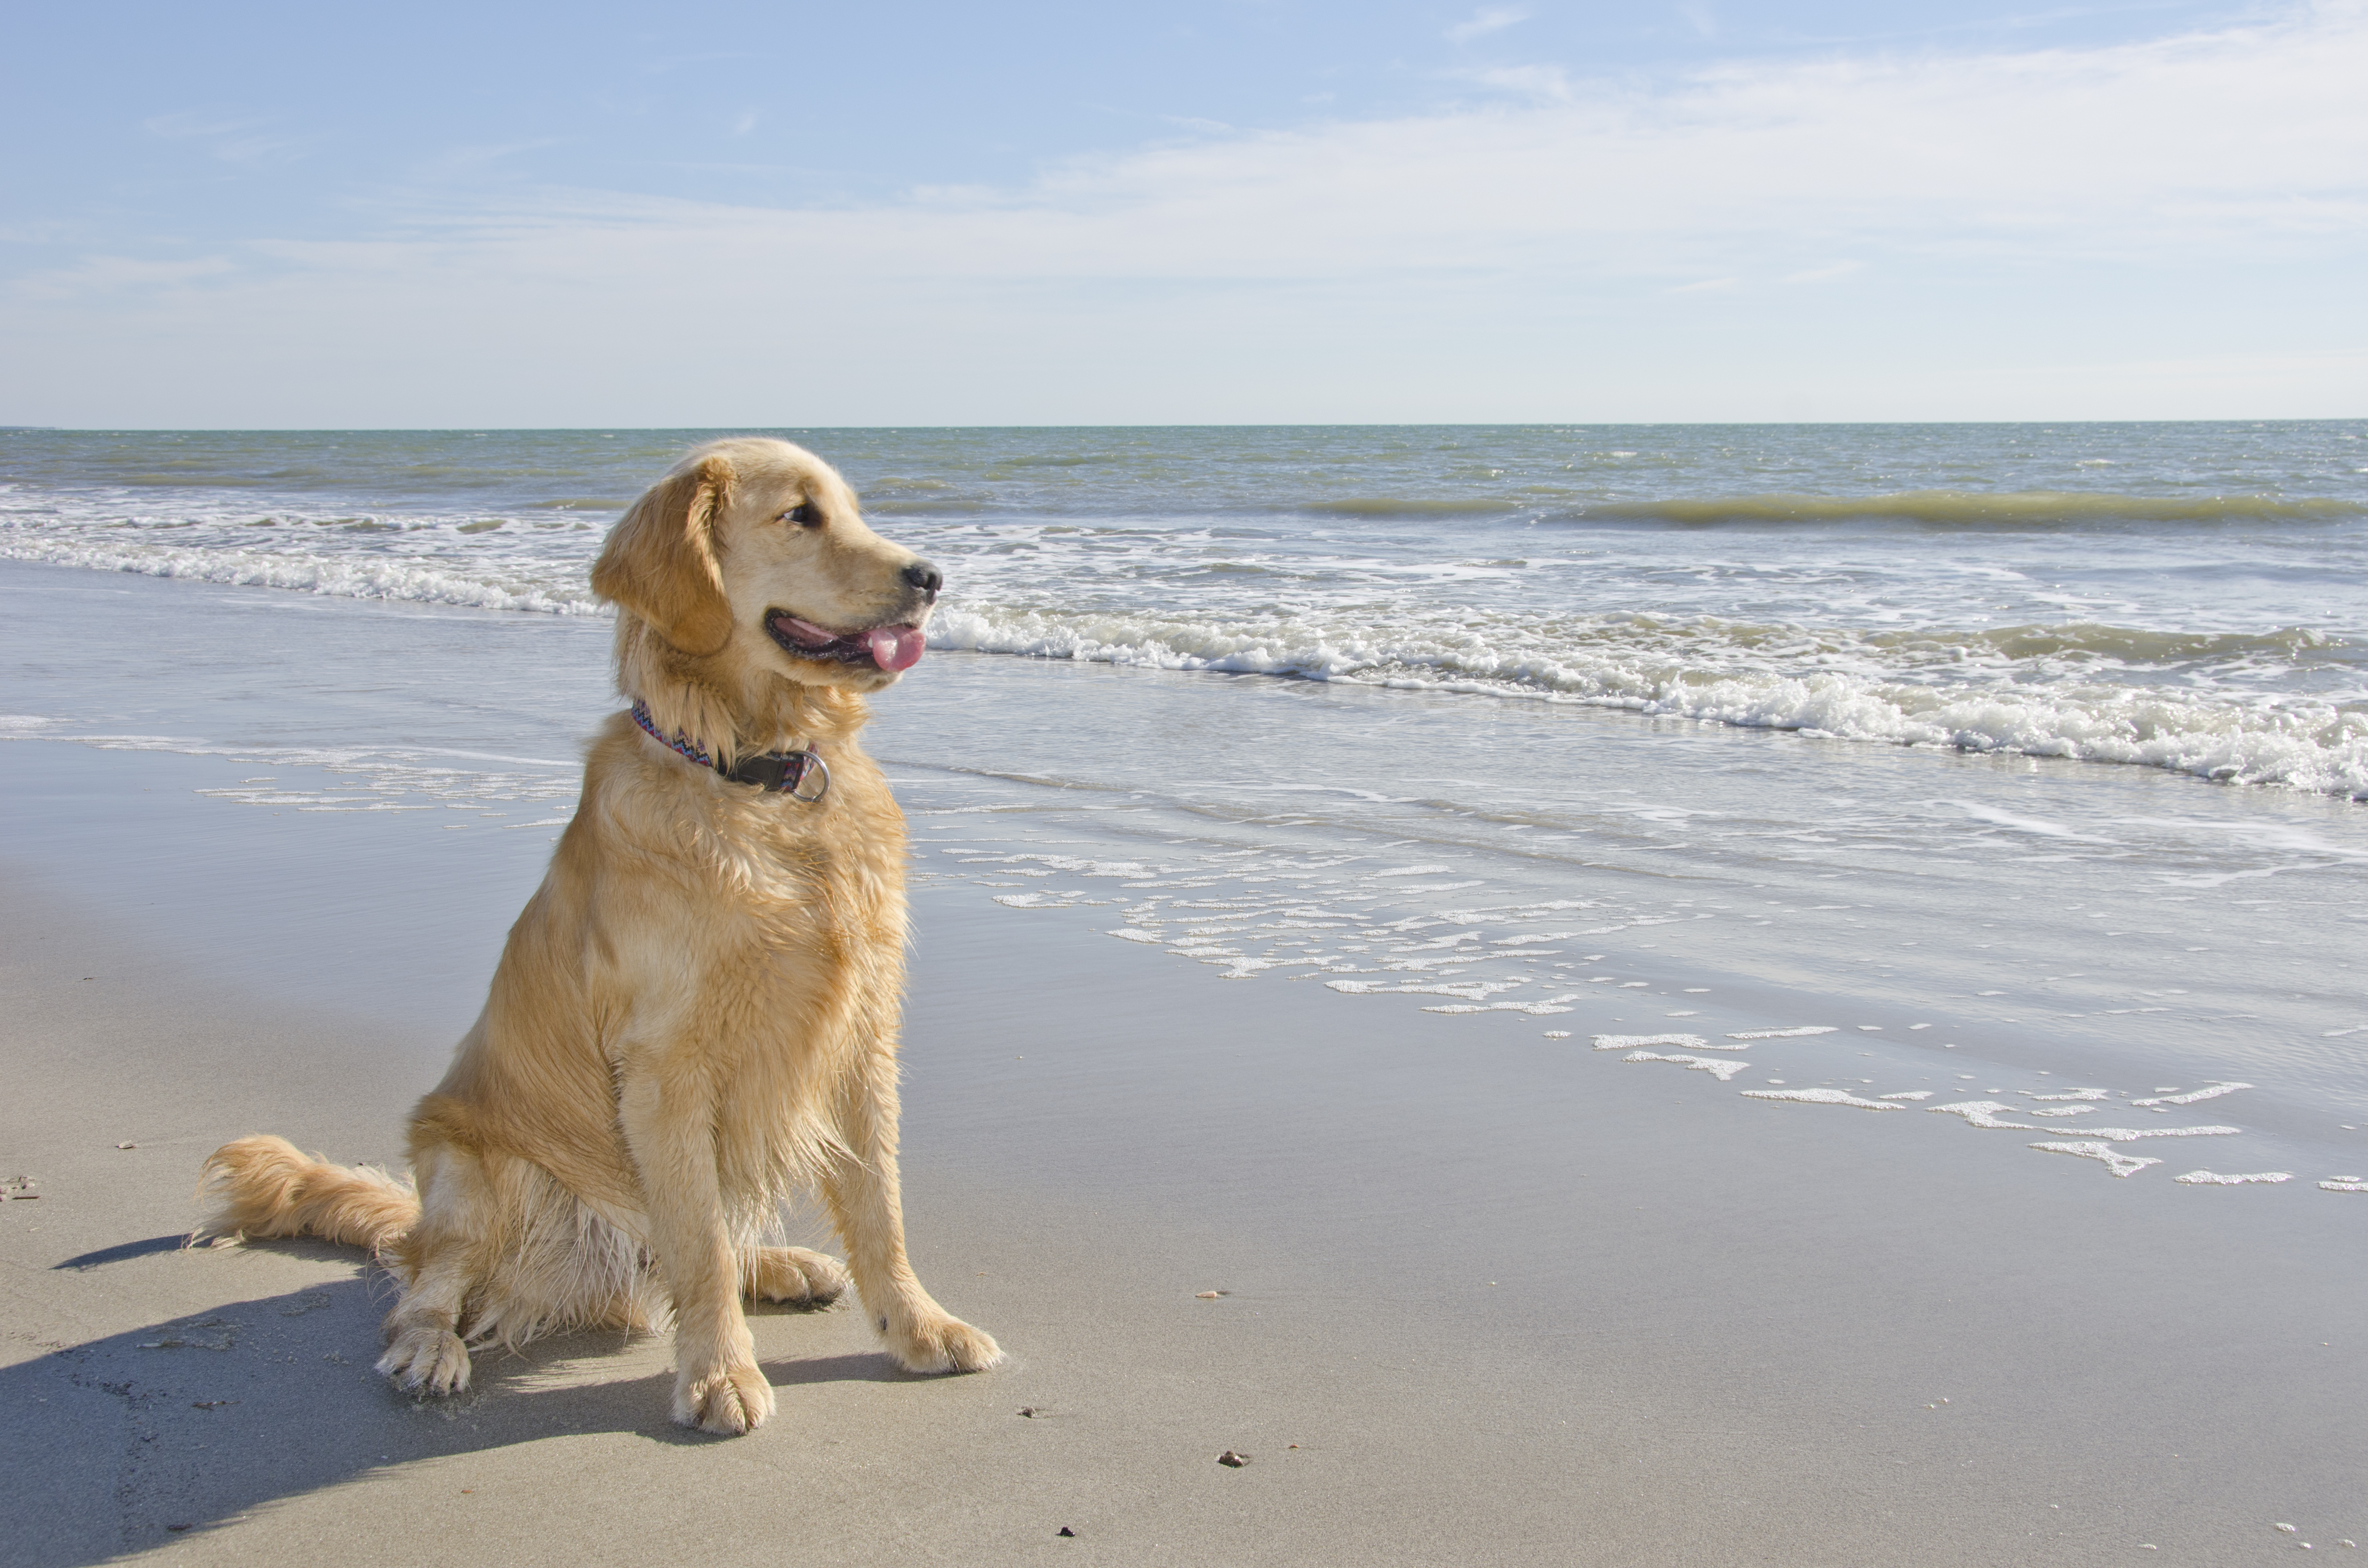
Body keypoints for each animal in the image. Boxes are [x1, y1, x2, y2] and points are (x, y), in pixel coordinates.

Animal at [201, 438, 999, 1440]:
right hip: (470, 1170)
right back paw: (433, 1347)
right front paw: (719, 1372)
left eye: (855, 509)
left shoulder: (860, 1032)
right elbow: (700, 1242)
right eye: (799, 515)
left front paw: (918, 1325)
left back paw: (781, 1263)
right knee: (428, 1284)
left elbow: (877, 1205)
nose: (930, 576)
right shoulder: (665, 1063)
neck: (756, 776)